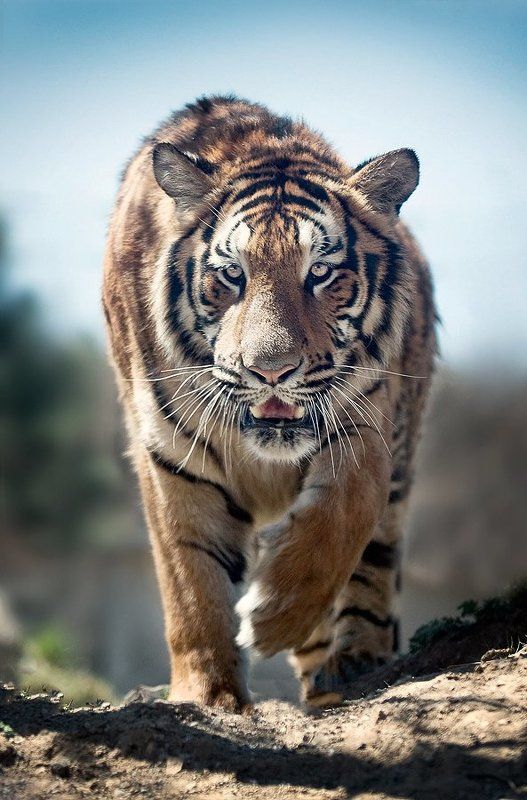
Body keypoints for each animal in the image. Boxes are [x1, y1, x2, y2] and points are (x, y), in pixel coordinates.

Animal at [103, 95, 437, 711]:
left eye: (320, 272)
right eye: (232, 275)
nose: (271, 371)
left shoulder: (364, 424)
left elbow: (342, 519)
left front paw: (272, 617)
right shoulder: (171, 458)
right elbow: (192, 583)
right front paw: (208, 695)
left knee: (376, 565)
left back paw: (357, 663)